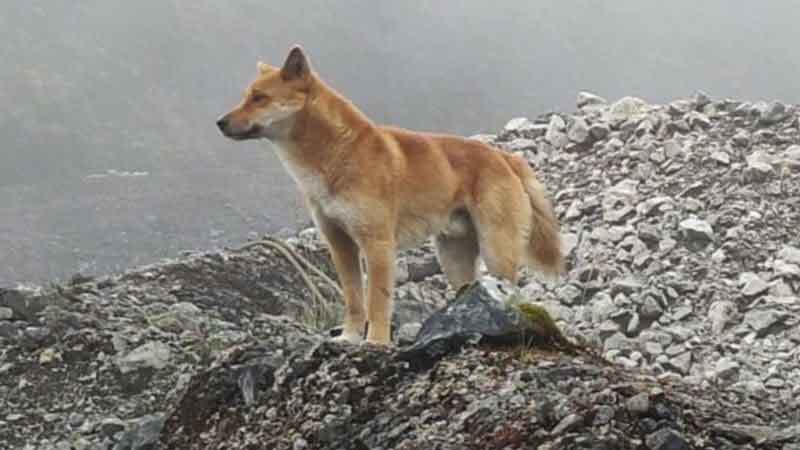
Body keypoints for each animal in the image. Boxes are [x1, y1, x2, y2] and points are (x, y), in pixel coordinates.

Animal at [216, 44, 560, 344]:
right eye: (246, 97)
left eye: (259, 98)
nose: (220, 122)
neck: (336, 155)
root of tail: (504, 157)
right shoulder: (340, 244)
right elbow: (355, 300)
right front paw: (349, 337)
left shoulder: (377, 243)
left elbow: (377, 303)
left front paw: (376, 343)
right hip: (454, 258)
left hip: (496, 250)